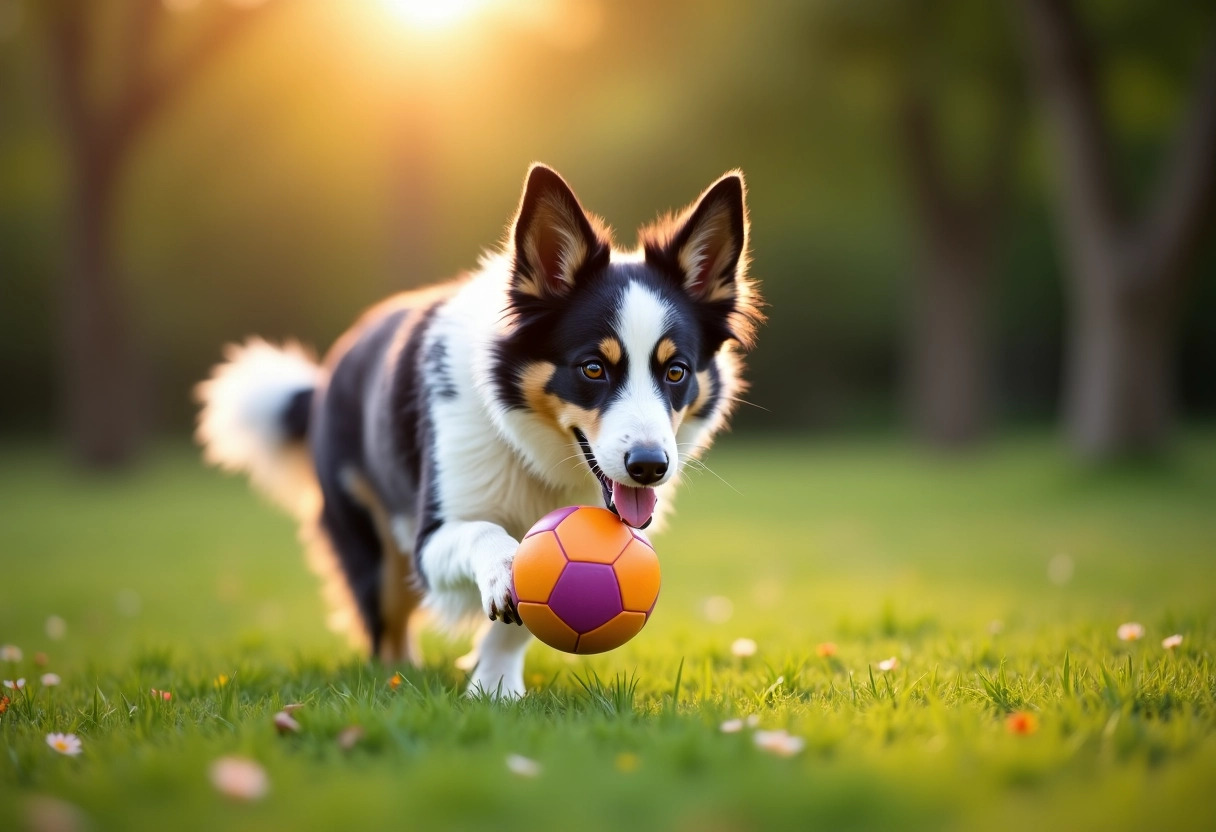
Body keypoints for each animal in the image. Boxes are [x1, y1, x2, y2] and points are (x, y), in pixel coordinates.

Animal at [196, 162, 758, 695]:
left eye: (675, 371)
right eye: (593, 368)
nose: (649, 467)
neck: (535, 453)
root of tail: (324, 379)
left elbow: (520, 621)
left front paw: (495, 688)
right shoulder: (430, 536)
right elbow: (489, 537)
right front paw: (502, 573)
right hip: (371, 546)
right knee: (387, 628)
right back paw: (396, 680)